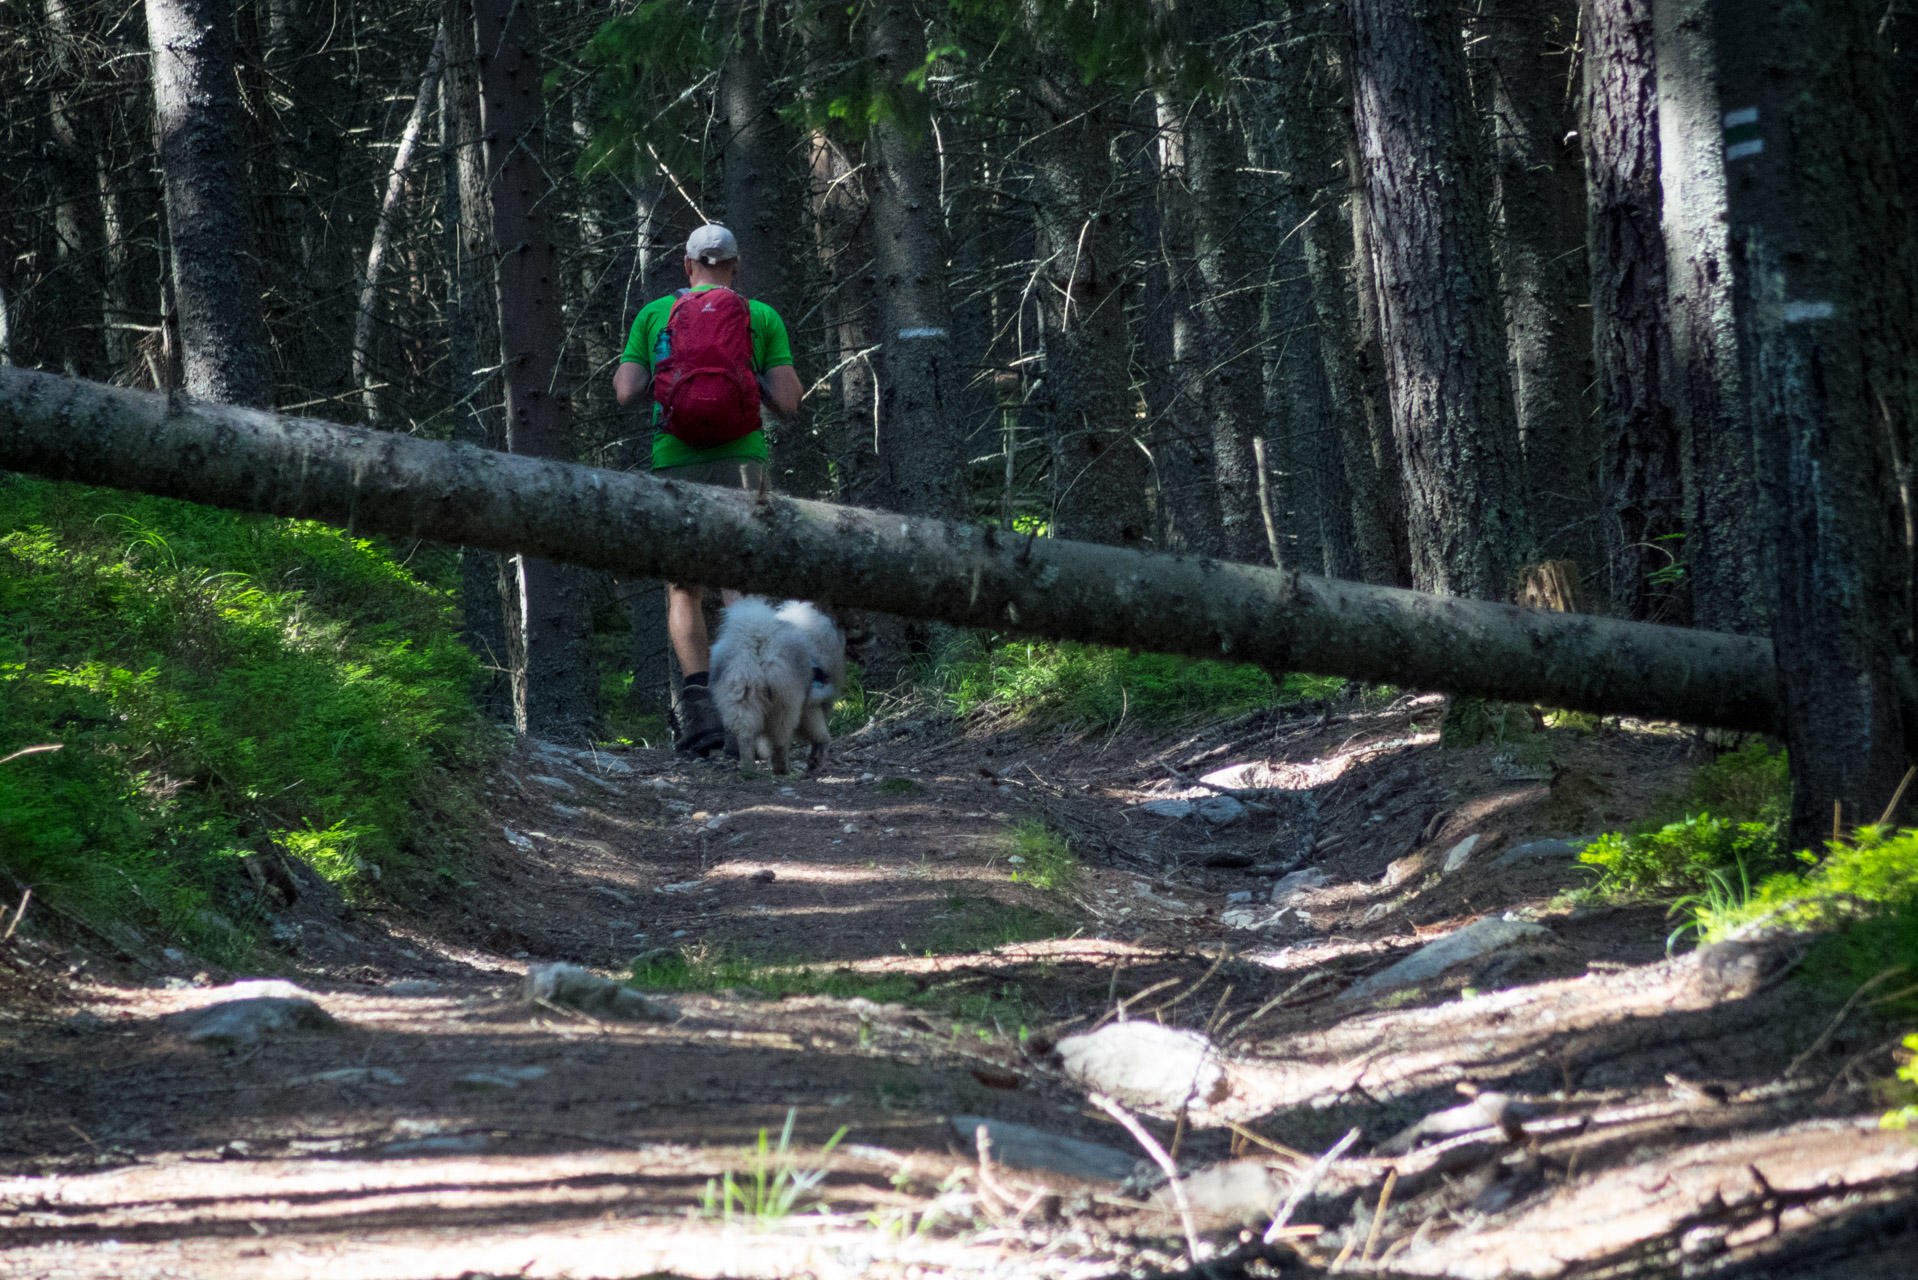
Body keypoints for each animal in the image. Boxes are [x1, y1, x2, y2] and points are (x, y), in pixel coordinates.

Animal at [709, 598, 843, 775]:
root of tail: (757, 642)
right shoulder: (810, 705)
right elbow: (822, 735)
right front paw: (816, 759)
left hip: (742, 699)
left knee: (746, 737)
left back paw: (748, 769)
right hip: (784, 705)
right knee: (780, 741)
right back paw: (784, 769)